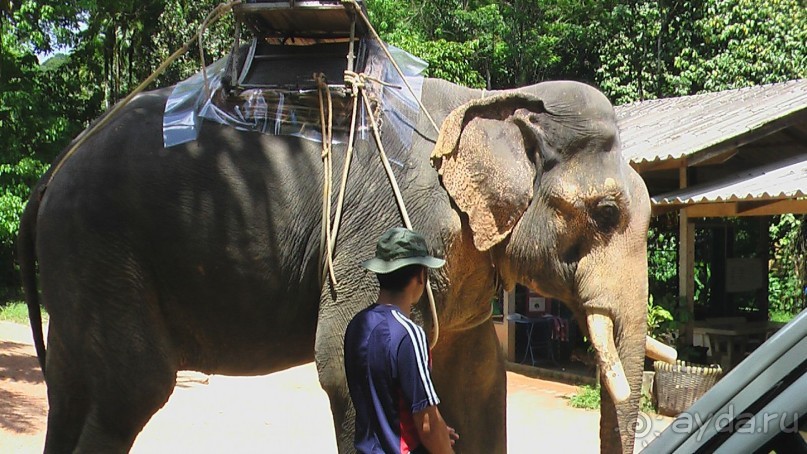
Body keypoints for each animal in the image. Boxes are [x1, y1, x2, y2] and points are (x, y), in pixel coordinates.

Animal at [17, 72, 668, 452]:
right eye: (607, 212)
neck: (485, 102)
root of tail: (51, 175)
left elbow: (479, 376)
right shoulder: (385, 225)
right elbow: (343, 364)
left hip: (82, 263)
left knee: (72, 385)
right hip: (101, 245)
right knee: (131, 388)